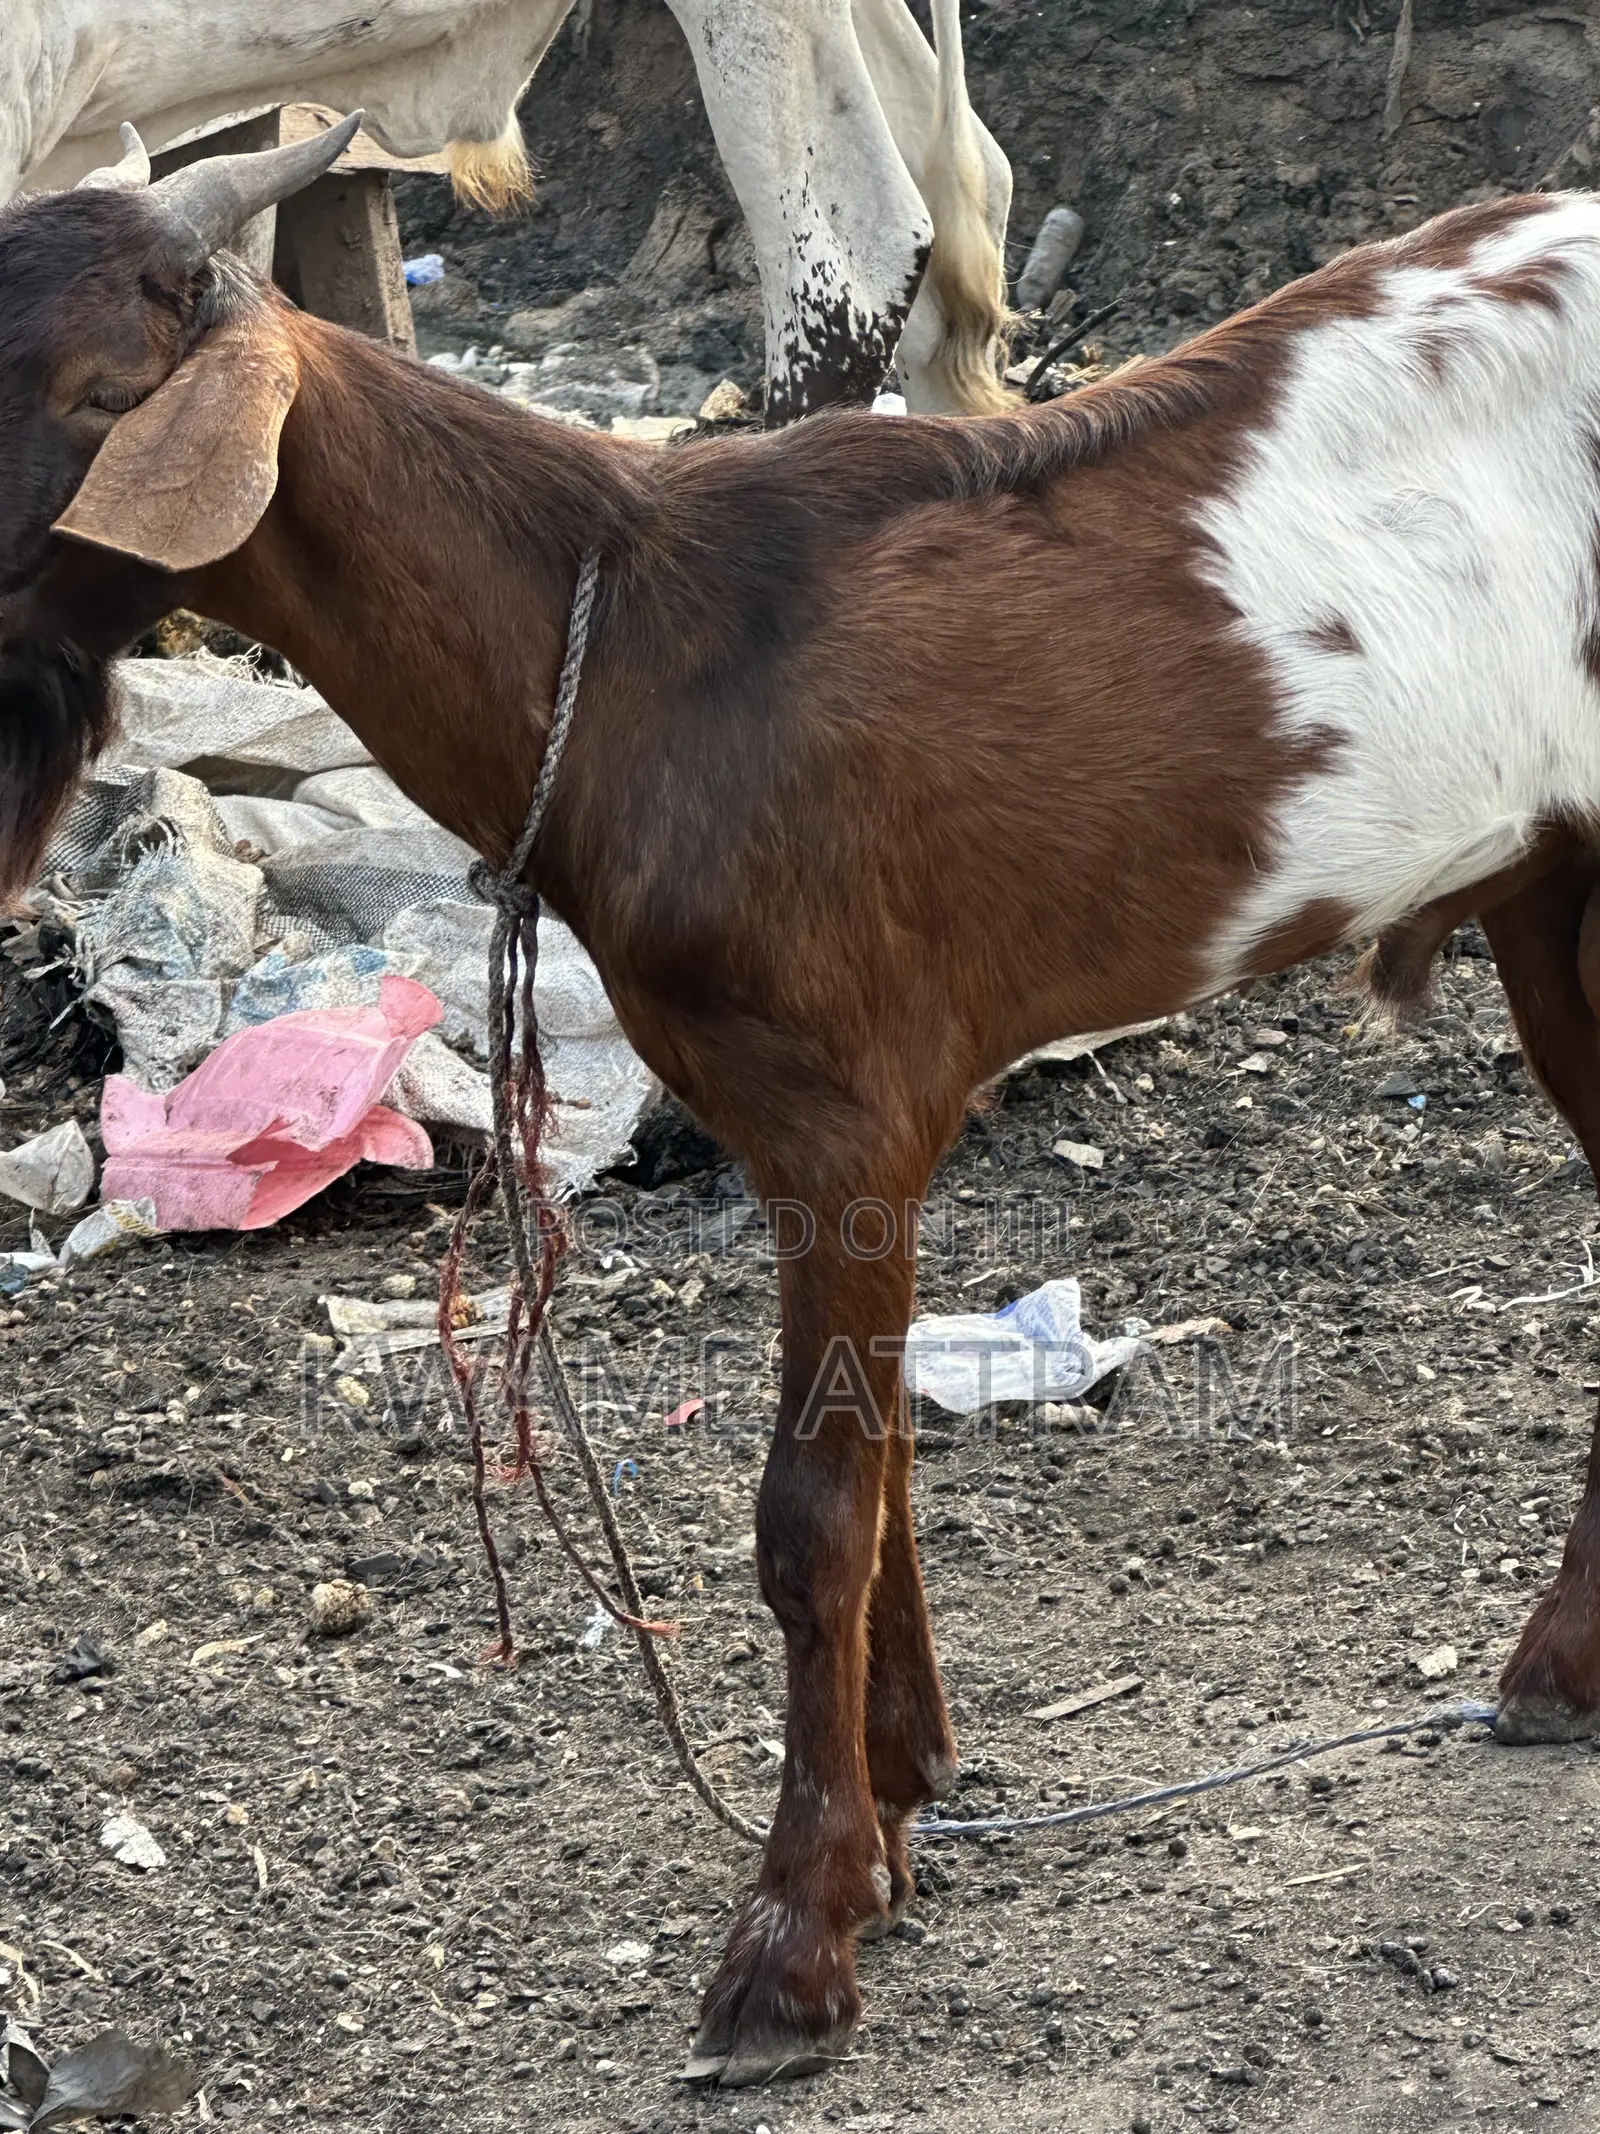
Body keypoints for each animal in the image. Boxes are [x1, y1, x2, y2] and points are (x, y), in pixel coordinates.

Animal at [6, 131, 1600, 2086]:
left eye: (91, 395)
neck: (626, 645)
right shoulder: (793, 1120)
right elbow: (886, 1447)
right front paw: (908, 1792)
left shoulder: (844, 1106)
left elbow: (811, 1509)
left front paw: (792, 1938)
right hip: (1552, 882)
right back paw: (1559, 1668)